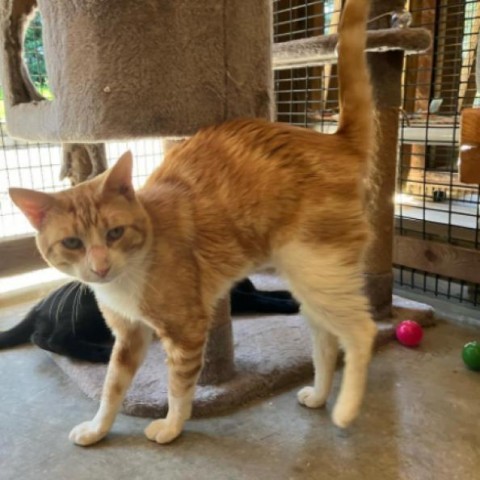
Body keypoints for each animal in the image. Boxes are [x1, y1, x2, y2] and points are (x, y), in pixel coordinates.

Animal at [0, 278, 298, 364]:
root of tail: (40, 303)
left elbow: (262, 291)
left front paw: (287, 294)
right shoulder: (232, 299)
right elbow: (259, 298)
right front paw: (288, 304)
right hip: (86, 313)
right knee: (49, 338)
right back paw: (100, 353)